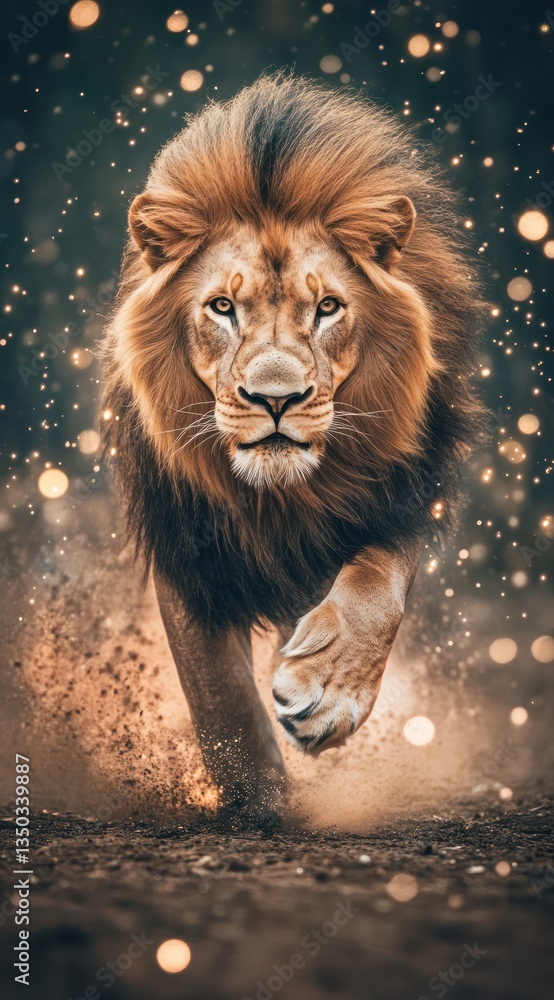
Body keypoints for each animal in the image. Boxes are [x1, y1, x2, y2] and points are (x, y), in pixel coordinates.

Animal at [101, 74, 485, 826]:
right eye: (222, 308)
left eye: (328, 307)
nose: (274, 399)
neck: (281, 496)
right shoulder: (186, 546)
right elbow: (219, 692)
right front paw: (258, 800)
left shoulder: (401, 498)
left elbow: (376, 592)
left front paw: (328, 692)